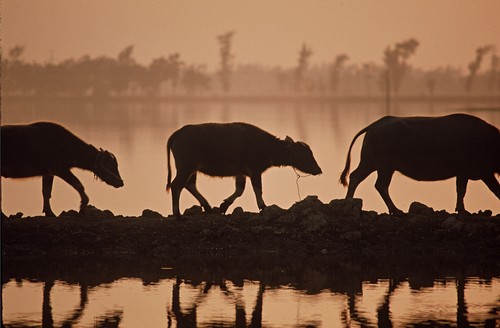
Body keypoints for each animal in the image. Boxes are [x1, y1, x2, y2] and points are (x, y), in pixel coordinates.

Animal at [166, 121, 322, 217]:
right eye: (304, 154)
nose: (318, 170)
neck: (266, 146)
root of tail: (178, 132)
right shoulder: (255, 171)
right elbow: (257, 189)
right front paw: (263, 206)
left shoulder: (240, 173)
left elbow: (239, 190)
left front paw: (223, 206)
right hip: (185, 167)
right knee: (176, 185)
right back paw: (178, 215)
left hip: (192, 169)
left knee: (189, 185)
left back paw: (208, 207)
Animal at [340, 113, 500, 215]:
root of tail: (374, 125)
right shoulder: (484, 172)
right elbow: (495, 189)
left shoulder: (463, 173)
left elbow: (461, 190)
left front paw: (461, 209)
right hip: (384, 166)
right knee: (380, 185)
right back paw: (396, 210)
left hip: (371, 163)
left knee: (355, 176)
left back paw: (348, 201)